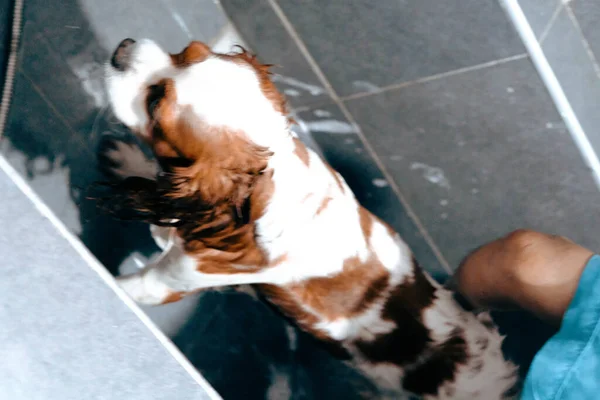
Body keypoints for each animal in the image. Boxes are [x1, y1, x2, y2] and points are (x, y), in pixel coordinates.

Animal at [101, 38, 516, 400]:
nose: (122, 48)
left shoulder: (174, 279)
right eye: (186, 50)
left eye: (155, 102)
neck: (267, 181)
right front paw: (130, 162)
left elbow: (132, 287)